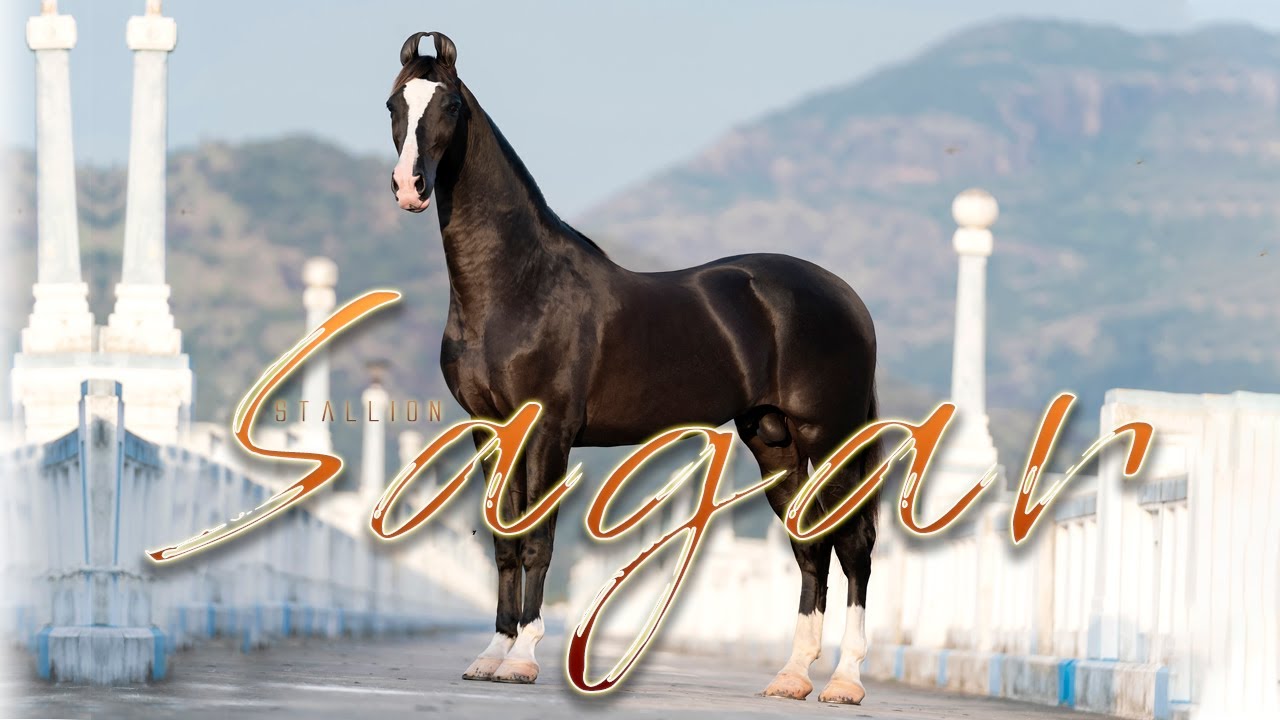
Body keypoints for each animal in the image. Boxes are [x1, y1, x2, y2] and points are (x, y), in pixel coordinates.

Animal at [386, 31, 880, 705]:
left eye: (451, 106)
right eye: (394, 104)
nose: (410, 186)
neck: (519, 283)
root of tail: (848, 297)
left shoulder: (548, 431)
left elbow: (537, 539)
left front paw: (523, 659)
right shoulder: (491, 431)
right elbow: (505, 542)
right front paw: (490, 656)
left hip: (829, 434)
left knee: (852, 544)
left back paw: (846, 681)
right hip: (774, 439)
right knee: (811, 544)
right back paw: (793, 676)